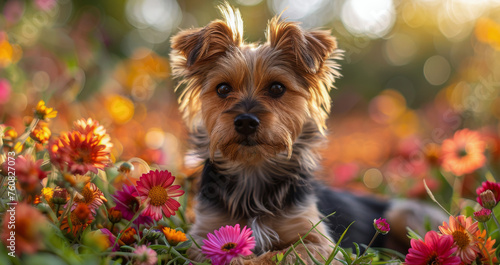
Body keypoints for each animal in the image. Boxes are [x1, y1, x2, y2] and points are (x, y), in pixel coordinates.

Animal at [169, 4, 446, 264]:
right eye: (223, 89)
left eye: (277, 88)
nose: (245, 121)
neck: (253, 171)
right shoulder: (202, 236)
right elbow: (224, 253)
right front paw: (245, 257)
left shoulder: (319, 240)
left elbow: (289, 253)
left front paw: (260, 258)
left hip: (405, 213)